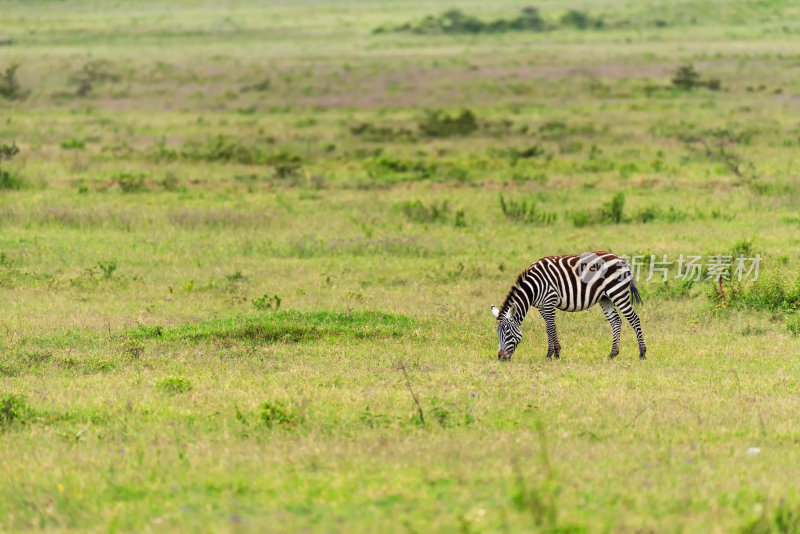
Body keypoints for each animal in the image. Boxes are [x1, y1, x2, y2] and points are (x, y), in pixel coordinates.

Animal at [490, 252, 648, 362]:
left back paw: (642, 353)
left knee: (634, 319)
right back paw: (612, 354)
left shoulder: (549, 300)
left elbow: (549, 327)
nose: (501, 358)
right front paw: (557, 352)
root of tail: (621, 260)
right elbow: (552, 326)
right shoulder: (542, 306)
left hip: (618, 292)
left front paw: (549, 354)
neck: (533, 287)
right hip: (605, 298)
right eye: (497, 334)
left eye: (508, 334)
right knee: (616, 321)